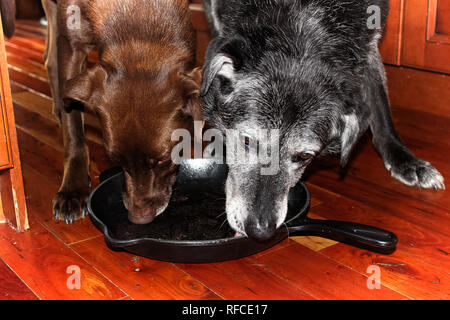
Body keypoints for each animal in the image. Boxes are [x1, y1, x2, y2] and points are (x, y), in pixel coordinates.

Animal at [41, 0, 201, 224]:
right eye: (117, 160)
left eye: (162, 159)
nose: (138, 219)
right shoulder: (71, 45)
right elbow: (73, 127)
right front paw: (73, 190)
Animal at [202, 0, 444, 240]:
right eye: (247, 141)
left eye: (305, 156)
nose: (260, 231)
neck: (305, 18)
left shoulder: (369, 41)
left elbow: (380, 106)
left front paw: (407, 161)